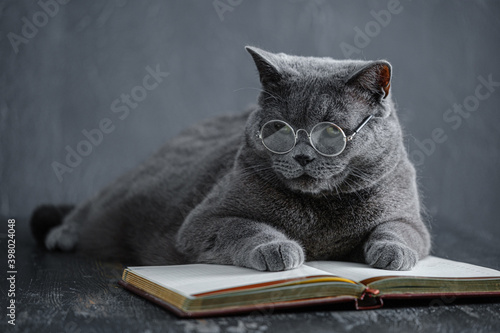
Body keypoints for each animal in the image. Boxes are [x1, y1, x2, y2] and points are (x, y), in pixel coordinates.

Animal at [31, 46, 430, 270]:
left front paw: (392, 254)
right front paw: (278, 247)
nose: (301, 156)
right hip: (126, 192)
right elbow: (243, 226)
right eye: (280, 129)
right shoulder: (201, 222)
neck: (320, 214)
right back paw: (62, 234)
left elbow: (399, 230)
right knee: (92, 204)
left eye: (331, 132)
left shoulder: (409, 218)